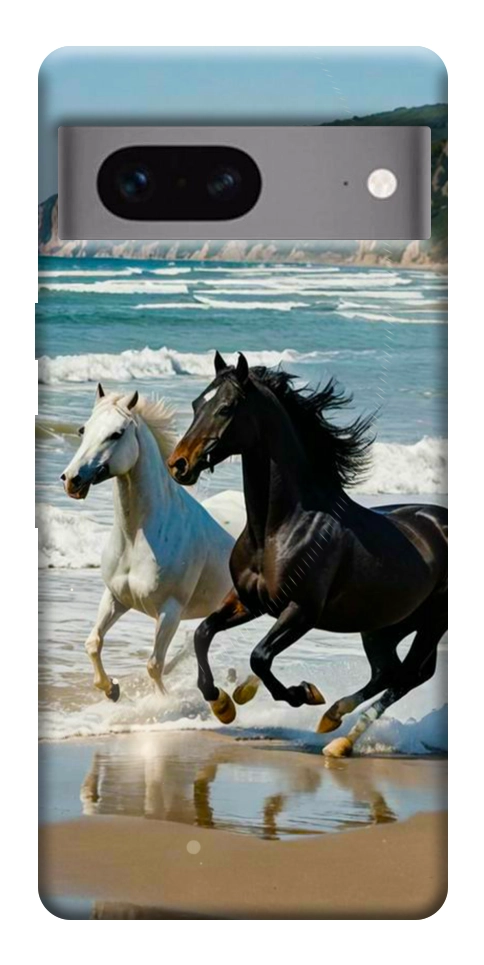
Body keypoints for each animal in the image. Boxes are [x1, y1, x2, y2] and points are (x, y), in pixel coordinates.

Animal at [61, 383, 234, 701]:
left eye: (116, 433)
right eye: (83, 429)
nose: (71, 480)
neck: (137, 538)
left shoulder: (170, 611)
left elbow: (154, 664)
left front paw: (161, 703)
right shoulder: (116, 597)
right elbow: (93, 643)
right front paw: (111, 689)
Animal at [167, 352, 448, 757]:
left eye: (226, 408)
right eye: (195, 404)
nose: (179, 464)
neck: (278, 529)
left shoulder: (301, 611)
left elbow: (260, 656)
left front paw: (303, 694)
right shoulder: (248, 601)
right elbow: (203, 633)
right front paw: (222, 703)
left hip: (430, 623)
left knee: (407, 675)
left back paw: (339, 737)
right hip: (383, 625)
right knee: (389, 672)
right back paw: (332, 721)